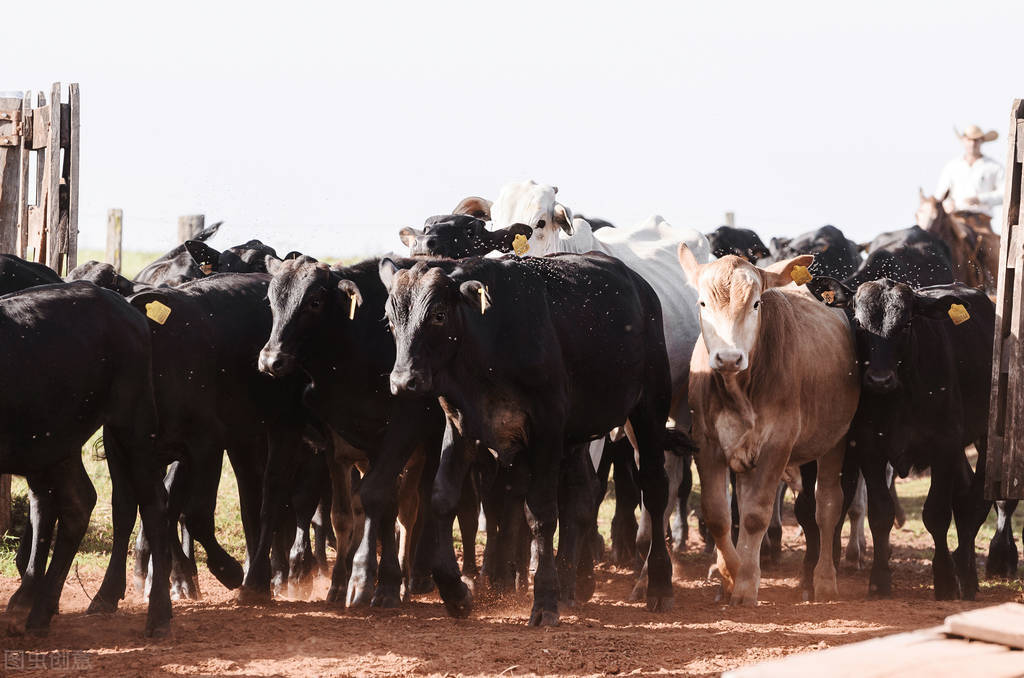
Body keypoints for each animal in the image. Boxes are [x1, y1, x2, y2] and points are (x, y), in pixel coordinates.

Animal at [0, 282, 171, 636]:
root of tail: (122, 304)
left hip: (133, 426)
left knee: (153, 504)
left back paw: (159, 615)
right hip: (56, 444)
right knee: (74, 502)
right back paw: (36, 611)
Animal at [380, 252, 674, 625]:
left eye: (438, 315)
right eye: (391, 322)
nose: (403, 381)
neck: (490, 341)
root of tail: (641, 286)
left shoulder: (546, 429)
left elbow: (541, 512)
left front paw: (544, 599)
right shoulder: (461, 426)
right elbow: (443, 499)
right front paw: (456, 593)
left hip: (648, 409)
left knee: (654, 488)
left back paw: (658, 586)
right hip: (575, 438)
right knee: (581, 494)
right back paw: (570, 585)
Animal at [678, 250, 860, 604]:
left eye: (755, 304)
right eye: (703, 303)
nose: (729, 358)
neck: (739, 390)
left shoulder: (778, 443)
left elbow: (754, 515)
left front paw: (746, 584)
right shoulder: (706, 443)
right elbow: (719, 514)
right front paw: (730, 573)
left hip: (837, 440)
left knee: (828, 505)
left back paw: (824, 579)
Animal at [808, 277, 995, 599]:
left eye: (906, 323)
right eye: (859, 322)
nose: (879, 379)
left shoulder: (944, 447)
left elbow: (936, 514)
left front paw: (945, 580)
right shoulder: (869, 447)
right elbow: (881, 512)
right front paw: (879, 580)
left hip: (984, 435)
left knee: (973, 503)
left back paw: (967, 577)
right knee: (964, 496)